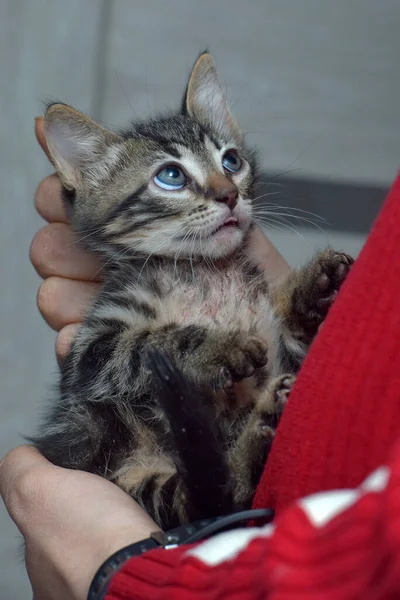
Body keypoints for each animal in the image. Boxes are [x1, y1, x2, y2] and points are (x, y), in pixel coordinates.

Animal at [32, 52, 354, 528]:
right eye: (171, 176)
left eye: (232, 161)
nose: (229, 195)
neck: (205, 271)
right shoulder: (90, 354)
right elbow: (148, 343)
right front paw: (217, 349)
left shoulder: (288, 358)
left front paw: (315, 286)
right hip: (119, 463)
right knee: (204, 501)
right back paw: (256, 439)